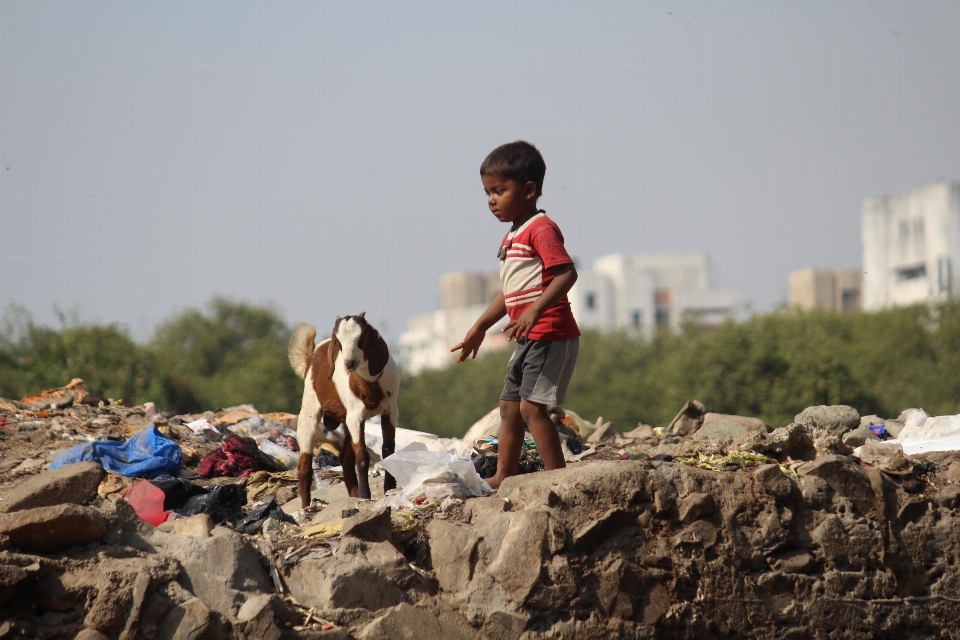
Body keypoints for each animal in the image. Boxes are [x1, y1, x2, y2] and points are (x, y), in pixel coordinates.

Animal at [288, 312, 402, 508]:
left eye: (362, 337)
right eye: (339, 341)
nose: (349, 363)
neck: (370, 384)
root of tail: (311, 358)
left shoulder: (390, 411)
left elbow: (388, 450)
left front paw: (389, 489)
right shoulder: (355, 418)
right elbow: (362, 456)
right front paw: (365, 495)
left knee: (345, 458)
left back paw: (353, 496)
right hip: (310, 406)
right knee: (305, 464)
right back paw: (306, 507)